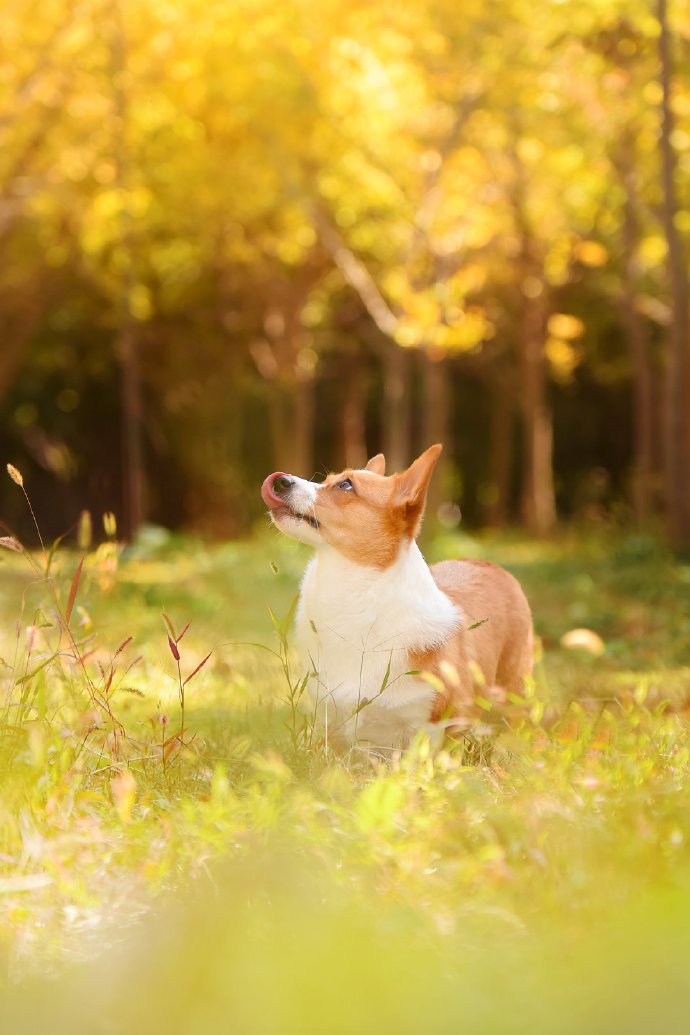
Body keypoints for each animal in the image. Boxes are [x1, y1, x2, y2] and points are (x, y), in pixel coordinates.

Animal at [260, 445, 533, 753]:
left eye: (346, 485)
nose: (280, 480)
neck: (355, 594)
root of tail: (487, 563)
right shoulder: (333, 724)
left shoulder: (438, 725)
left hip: (514, 692)